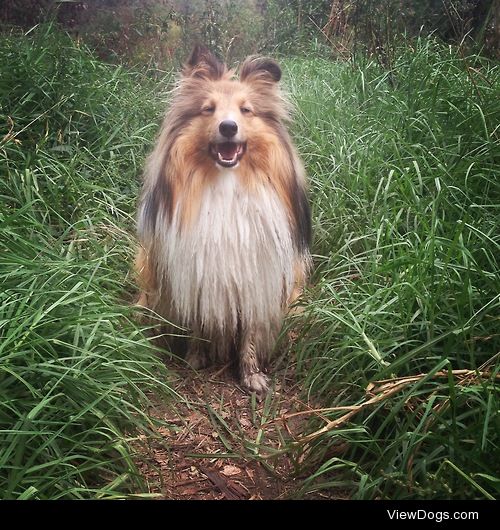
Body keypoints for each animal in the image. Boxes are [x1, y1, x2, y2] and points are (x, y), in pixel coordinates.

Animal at [135, 45, 310, 394]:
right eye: (208, 109)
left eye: (246, 110)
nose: (228, 127)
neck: (226, 183)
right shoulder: (194, 270)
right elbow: (197, 320)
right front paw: (196, 356)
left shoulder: (258, 275)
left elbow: (250, 334)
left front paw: (251, 374)